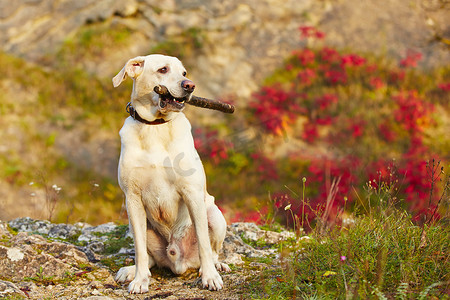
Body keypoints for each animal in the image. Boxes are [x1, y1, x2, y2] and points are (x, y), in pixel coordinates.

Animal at [112, 54, 232, 292]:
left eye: (184, 73)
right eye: (163, 69)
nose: (190, 85)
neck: (155, 126)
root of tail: (178, 261)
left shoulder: (192, 192)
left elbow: (204, 243)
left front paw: (210, 278)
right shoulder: (132, 198)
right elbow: (139, 250)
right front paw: (140, 280)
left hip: (214, 214)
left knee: (213, 250)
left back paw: (215, 267)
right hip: (136, 223)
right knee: (148, 256)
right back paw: (131, 271)